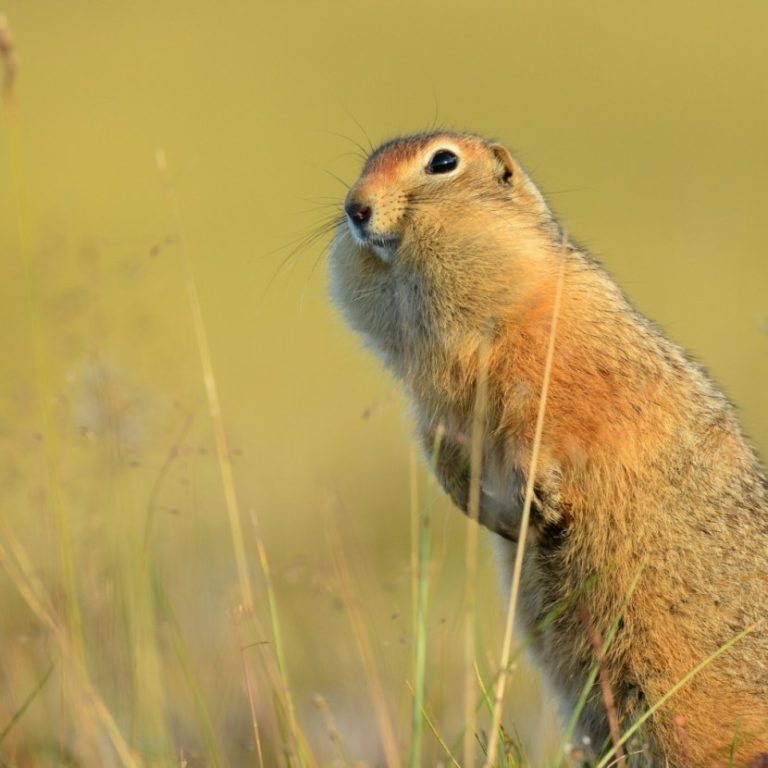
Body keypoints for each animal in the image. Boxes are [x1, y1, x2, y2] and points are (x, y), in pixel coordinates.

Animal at [328, 130, 764, 760]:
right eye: (367, 161)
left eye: (443, 161)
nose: (354, 208)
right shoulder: (433, 408)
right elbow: (443, 448)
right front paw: (490, 513)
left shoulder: (547, 367)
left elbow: (548, 423)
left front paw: (542, 497)